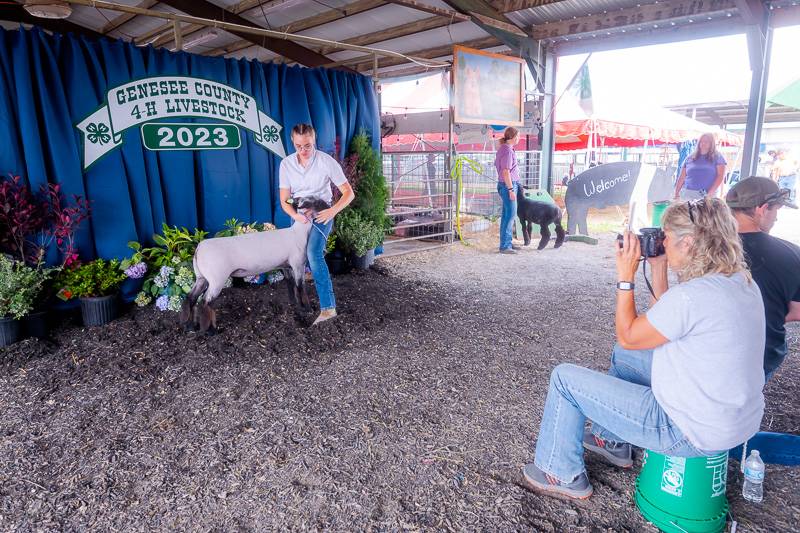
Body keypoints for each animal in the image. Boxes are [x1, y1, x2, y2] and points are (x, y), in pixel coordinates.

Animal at [180, 196, 328, 332]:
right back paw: (210, 331)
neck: (298, 233)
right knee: (205, 303)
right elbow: (300, 287)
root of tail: (199, 248)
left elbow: (291, 284)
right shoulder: (298, 264)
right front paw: (307, 309)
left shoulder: (286, 266)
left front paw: (294, 304)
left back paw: (190, 327)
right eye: (315, 201)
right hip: (217, 279)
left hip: (202, 277)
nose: (329, 207)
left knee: (190, 298)